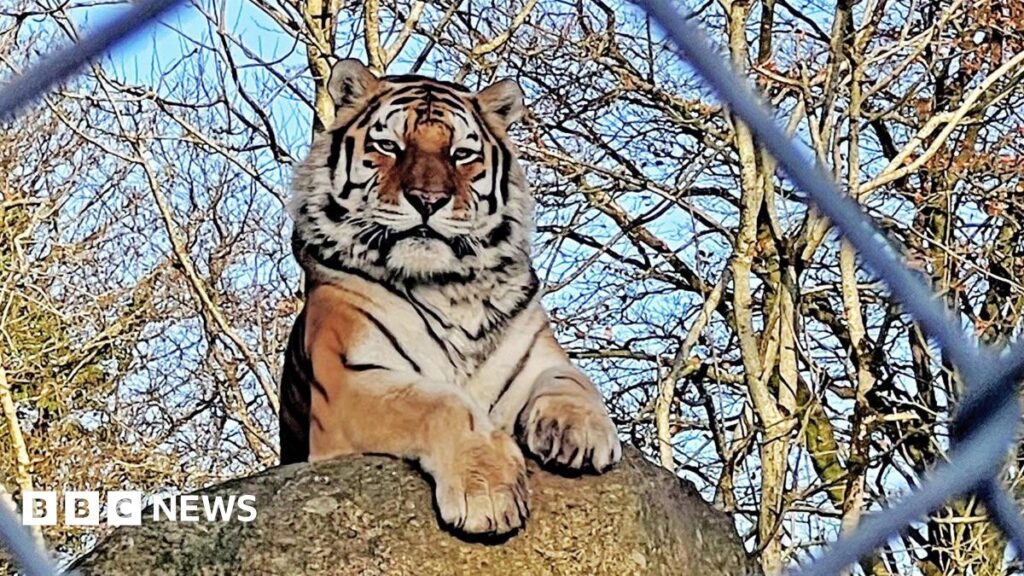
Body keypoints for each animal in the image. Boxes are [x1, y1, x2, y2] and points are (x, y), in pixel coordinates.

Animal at [279, 59, 621, 536]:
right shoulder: (350, 379)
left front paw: (581, 431)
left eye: (461, 154)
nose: (429, 200)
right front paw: (488, 490)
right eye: (389, 146)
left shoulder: (537, 357)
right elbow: (440, 402)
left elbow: (573, 380)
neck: (449, 287)